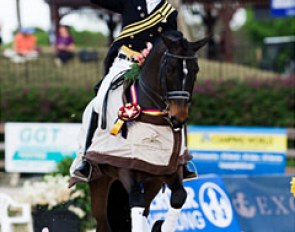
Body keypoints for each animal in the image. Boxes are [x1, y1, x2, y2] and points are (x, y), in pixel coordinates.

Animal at [86, 31, 209, 232]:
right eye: (170, 69)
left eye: (195, 70)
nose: (179, 118)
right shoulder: (126, 168)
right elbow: (136, 201)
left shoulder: (168, 168)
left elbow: (179, 197)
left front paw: (160, 226)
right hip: (100, 183)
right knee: (104, 222)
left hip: (152, 182)